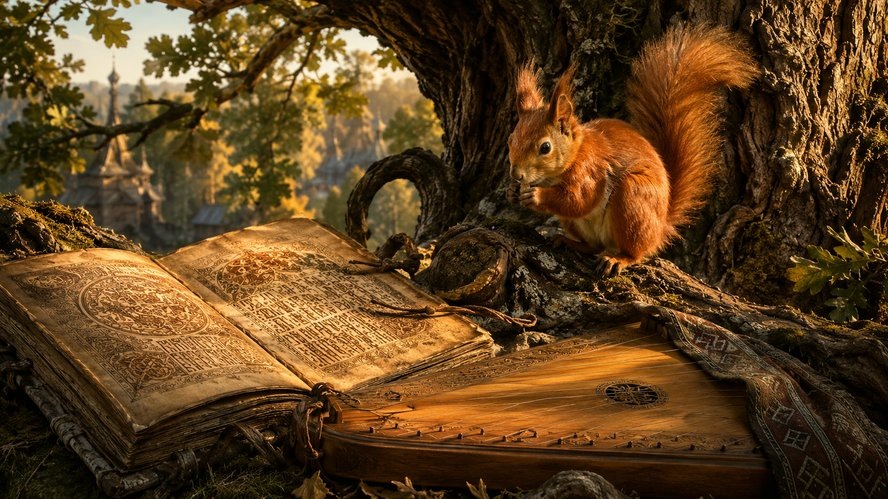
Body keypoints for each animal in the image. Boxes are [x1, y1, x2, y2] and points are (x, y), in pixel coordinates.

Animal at [508, 24, 757, 275]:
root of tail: (660, 227)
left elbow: (578, 199)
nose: (516, 175)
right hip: (579, 223)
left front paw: (537, 196)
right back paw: (570, 242)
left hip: (632, 200)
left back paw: (618, 259)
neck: (575, 154)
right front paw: (512, 192)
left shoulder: (590, 170)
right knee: (593, 245)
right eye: (510, 139)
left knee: (635, 252)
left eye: (545, 147)